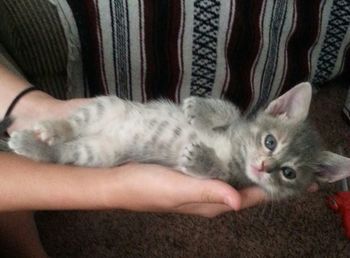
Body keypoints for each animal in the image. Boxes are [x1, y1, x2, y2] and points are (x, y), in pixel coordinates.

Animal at [6, 82, 350, 200]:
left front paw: (201, 158)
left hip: (98, 153)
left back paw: (31, 144)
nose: (265, 166)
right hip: (107, 106)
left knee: (64, 152)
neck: (237, 152)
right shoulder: (238, 123)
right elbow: (231, 109)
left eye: (288, 173)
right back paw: (50, 127)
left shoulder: (234, 180)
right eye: (270, 142)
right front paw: (199, 108)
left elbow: (218, 173)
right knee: (72, 124)